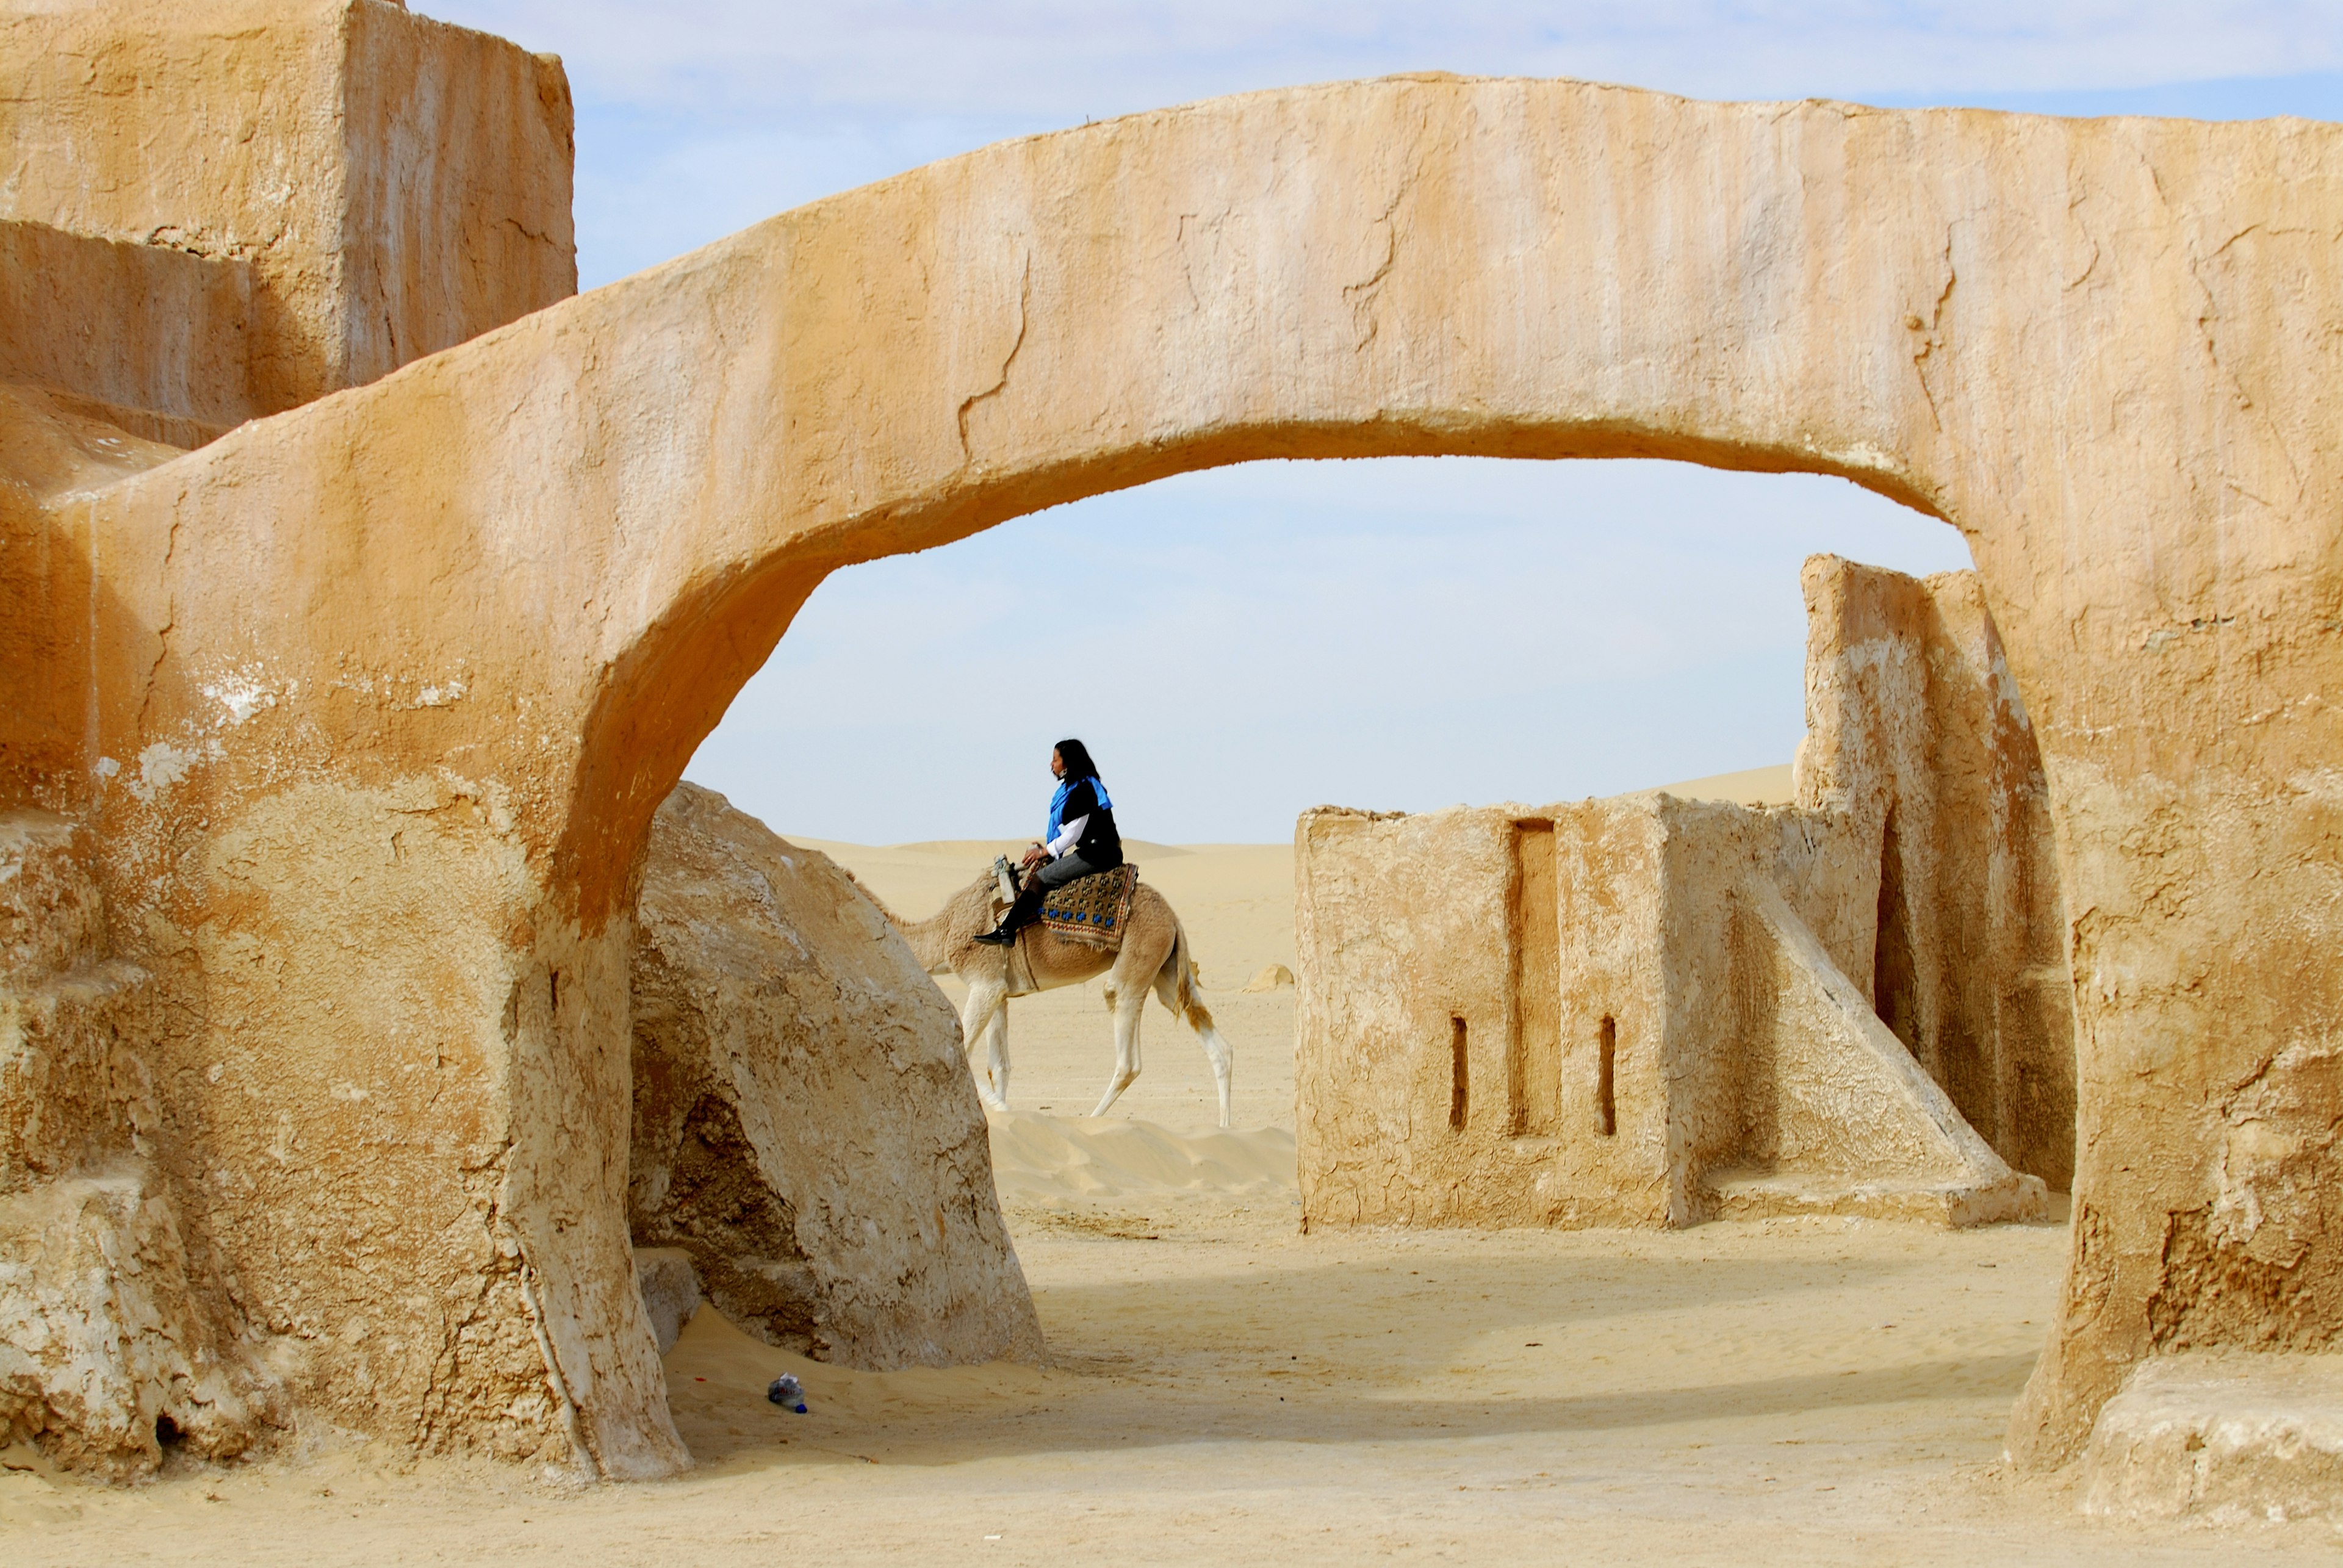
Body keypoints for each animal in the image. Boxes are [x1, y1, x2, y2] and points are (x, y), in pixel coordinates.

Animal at [876, 867, 1246, 1124]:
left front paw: (1001, 1108)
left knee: (1128, 1055)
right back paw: (1225, 1129)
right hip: (1166, 971)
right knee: (1216, 1043)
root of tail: (1173, 918)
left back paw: (1092, 1121)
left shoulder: (984, 983)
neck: (943, 933)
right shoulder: (998, 990)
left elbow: (961, 1051)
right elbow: (999, 1066)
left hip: (1138, 960)